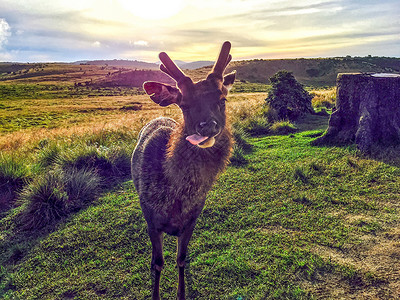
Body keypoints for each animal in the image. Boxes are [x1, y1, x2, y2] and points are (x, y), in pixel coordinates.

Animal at [133, 41, 236, 298]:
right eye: (184, 105)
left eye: (222, 99)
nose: (208, 126)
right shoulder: (150, 218)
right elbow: (159, 263)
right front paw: (155, 293)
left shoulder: (192, 219)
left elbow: (181, 258)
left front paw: (181, 293)